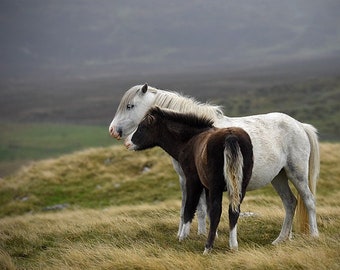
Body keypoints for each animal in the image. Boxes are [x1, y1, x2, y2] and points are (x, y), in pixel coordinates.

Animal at [108, 83, 318, 244]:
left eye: (130, 106)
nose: (113, 131)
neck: (194, 137)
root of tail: (300, 125)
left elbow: (201, 209)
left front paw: (205, 235)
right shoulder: (187, 179)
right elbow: (192, 208)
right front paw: (196, 234)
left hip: (296, 174)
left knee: (308, 201)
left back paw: (313, 236)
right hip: (279, 177)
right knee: (290, 203)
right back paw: (280, 239)